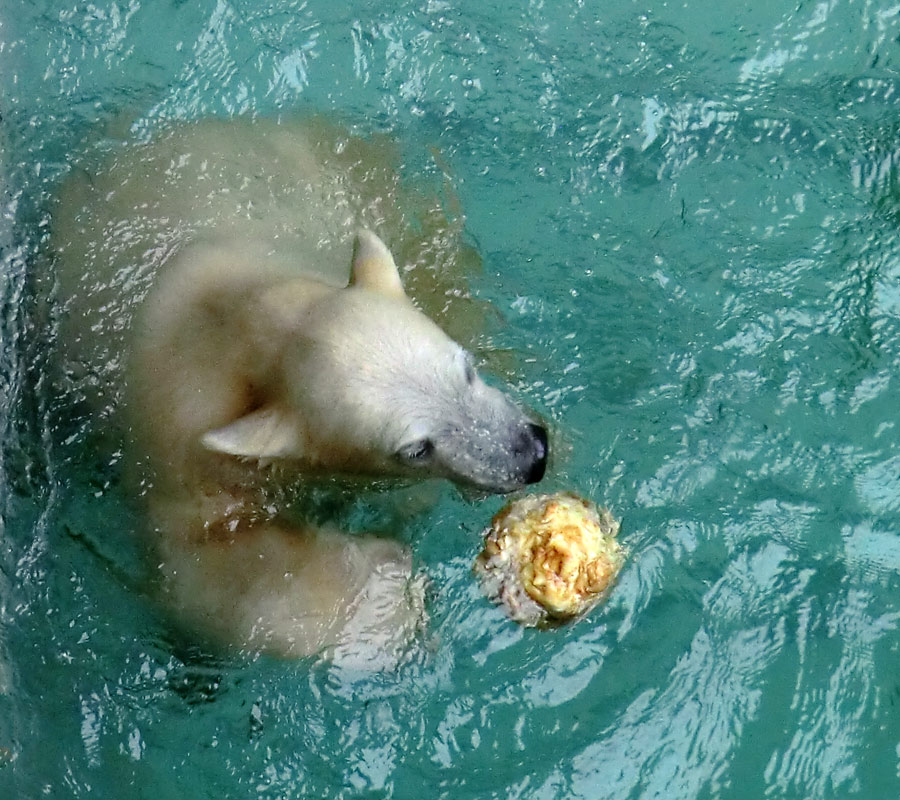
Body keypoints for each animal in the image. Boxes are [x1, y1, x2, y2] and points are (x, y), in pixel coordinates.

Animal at [54, 115, 548, 664]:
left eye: (466, 369)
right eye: (416, 449)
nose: (533, 455)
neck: (246, 316)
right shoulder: (177, 437)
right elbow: (206, 562)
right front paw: (387, 594)